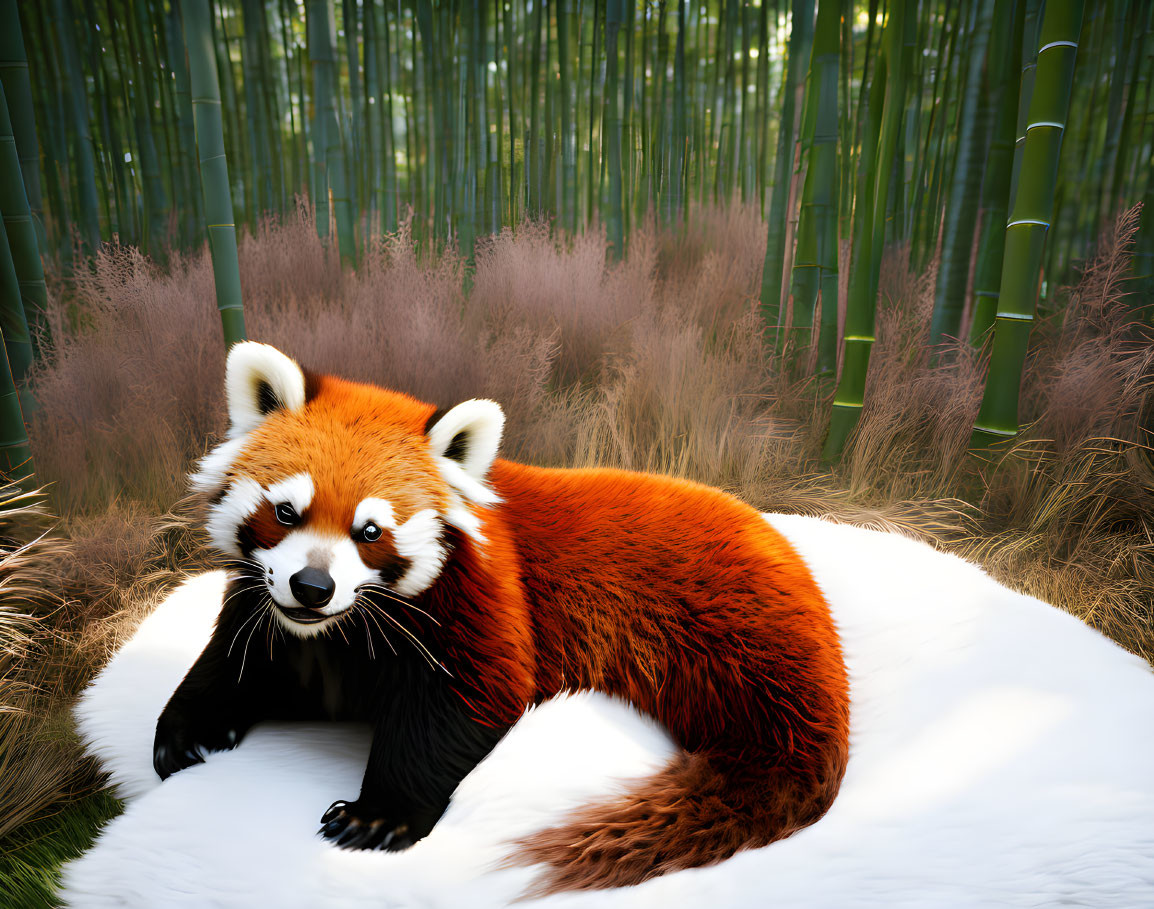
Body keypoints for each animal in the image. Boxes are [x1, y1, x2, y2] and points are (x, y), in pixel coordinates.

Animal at [158, 343, 849, 895]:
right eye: (285, 512)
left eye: (370, 531)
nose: (312, 587)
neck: (341, 631)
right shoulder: (271, 615)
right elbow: (237, 662)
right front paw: (188, 731)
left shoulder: (482, 601)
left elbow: (462, 707)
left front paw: (377, 816)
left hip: (725, 631)